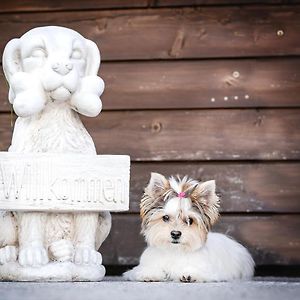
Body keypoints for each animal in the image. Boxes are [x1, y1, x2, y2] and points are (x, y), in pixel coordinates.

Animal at [123, 172, 254, 282]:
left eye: (189, 220)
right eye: (165, 218)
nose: (175, 234)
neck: (175, 250)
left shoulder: (209, 270)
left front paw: (189, 274)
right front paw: (149, 274)